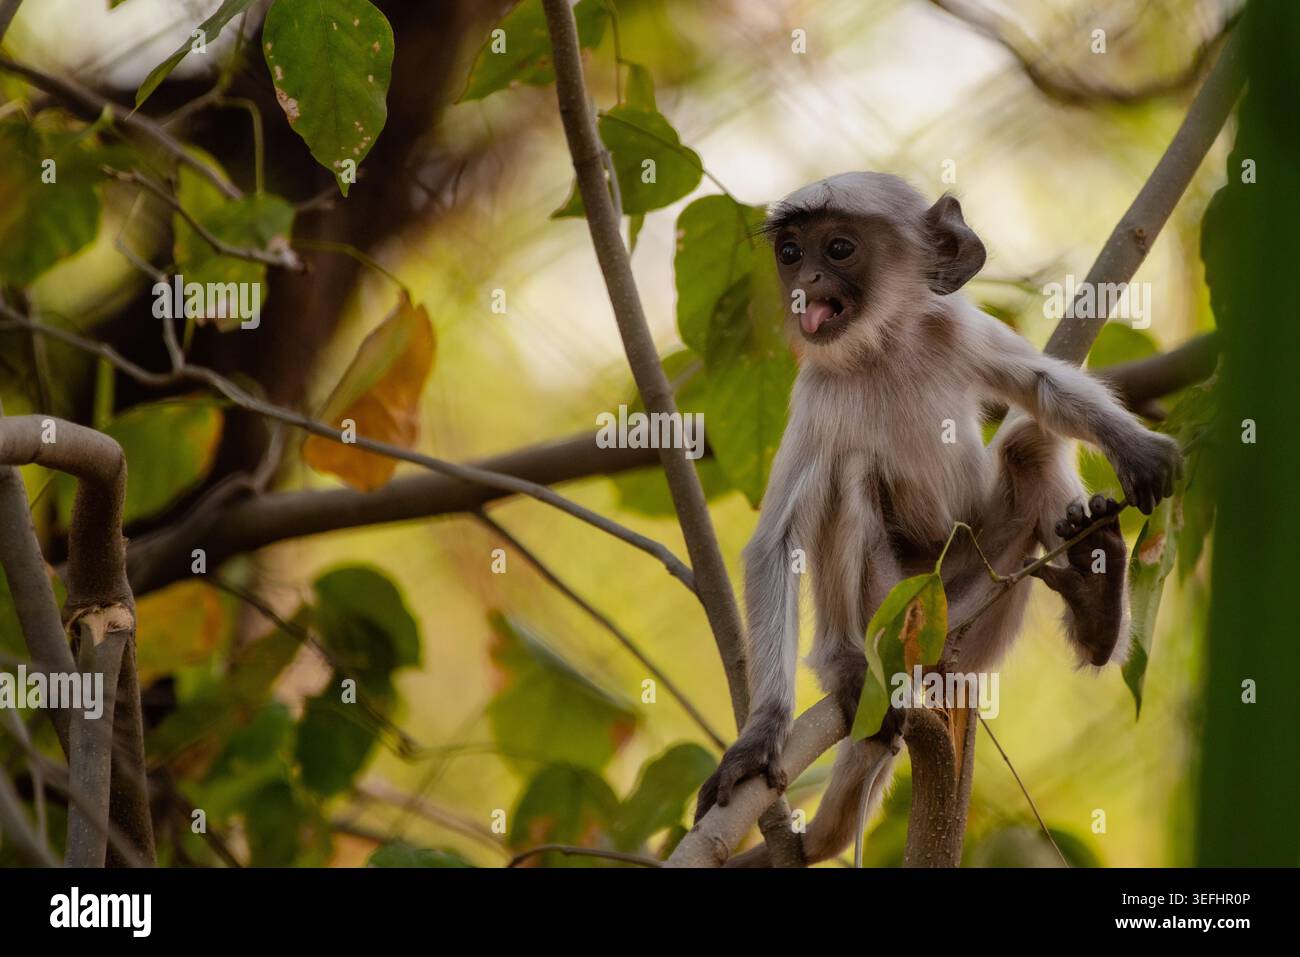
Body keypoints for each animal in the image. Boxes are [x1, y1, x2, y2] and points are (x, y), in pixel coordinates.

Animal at [692, 172, 1182, 866]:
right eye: (789, 254)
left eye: (837, 249)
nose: (804, 282)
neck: (882, 349)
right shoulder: (817, 392)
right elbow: (776, 544)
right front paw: (760, 736)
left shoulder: (952, 326)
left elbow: (1043, 387)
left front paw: (1134, 445)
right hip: (900, 603)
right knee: (850, 475)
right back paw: (849, 664)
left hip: (979, 603)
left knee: (1028, 445)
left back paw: (1097, 607)